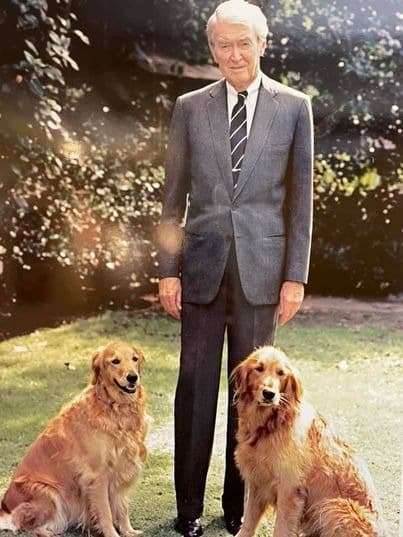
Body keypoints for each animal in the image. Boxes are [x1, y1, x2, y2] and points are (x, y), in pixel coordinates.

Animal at [0, 341, 147, 537]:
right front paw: (112, 534)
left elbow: (122, 507)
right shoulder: (97, 476)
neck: (114, 406)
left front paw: (128, 531)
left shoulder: (123, 467)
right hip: (49, 492)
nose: (132, 377)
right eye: (115, 361)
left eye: (134, 359)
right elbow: (106, 512)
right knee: (27, 524)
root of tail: (4, 506)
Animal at [231, 346, 389, 537]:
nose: (269, 394)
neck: (271, 424)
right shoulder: (258, 483)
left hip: (334, 506)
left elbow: (281, 528)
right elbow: (248, 523)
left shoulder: (289, 489)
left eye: (281, 373)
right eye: (259, 368)